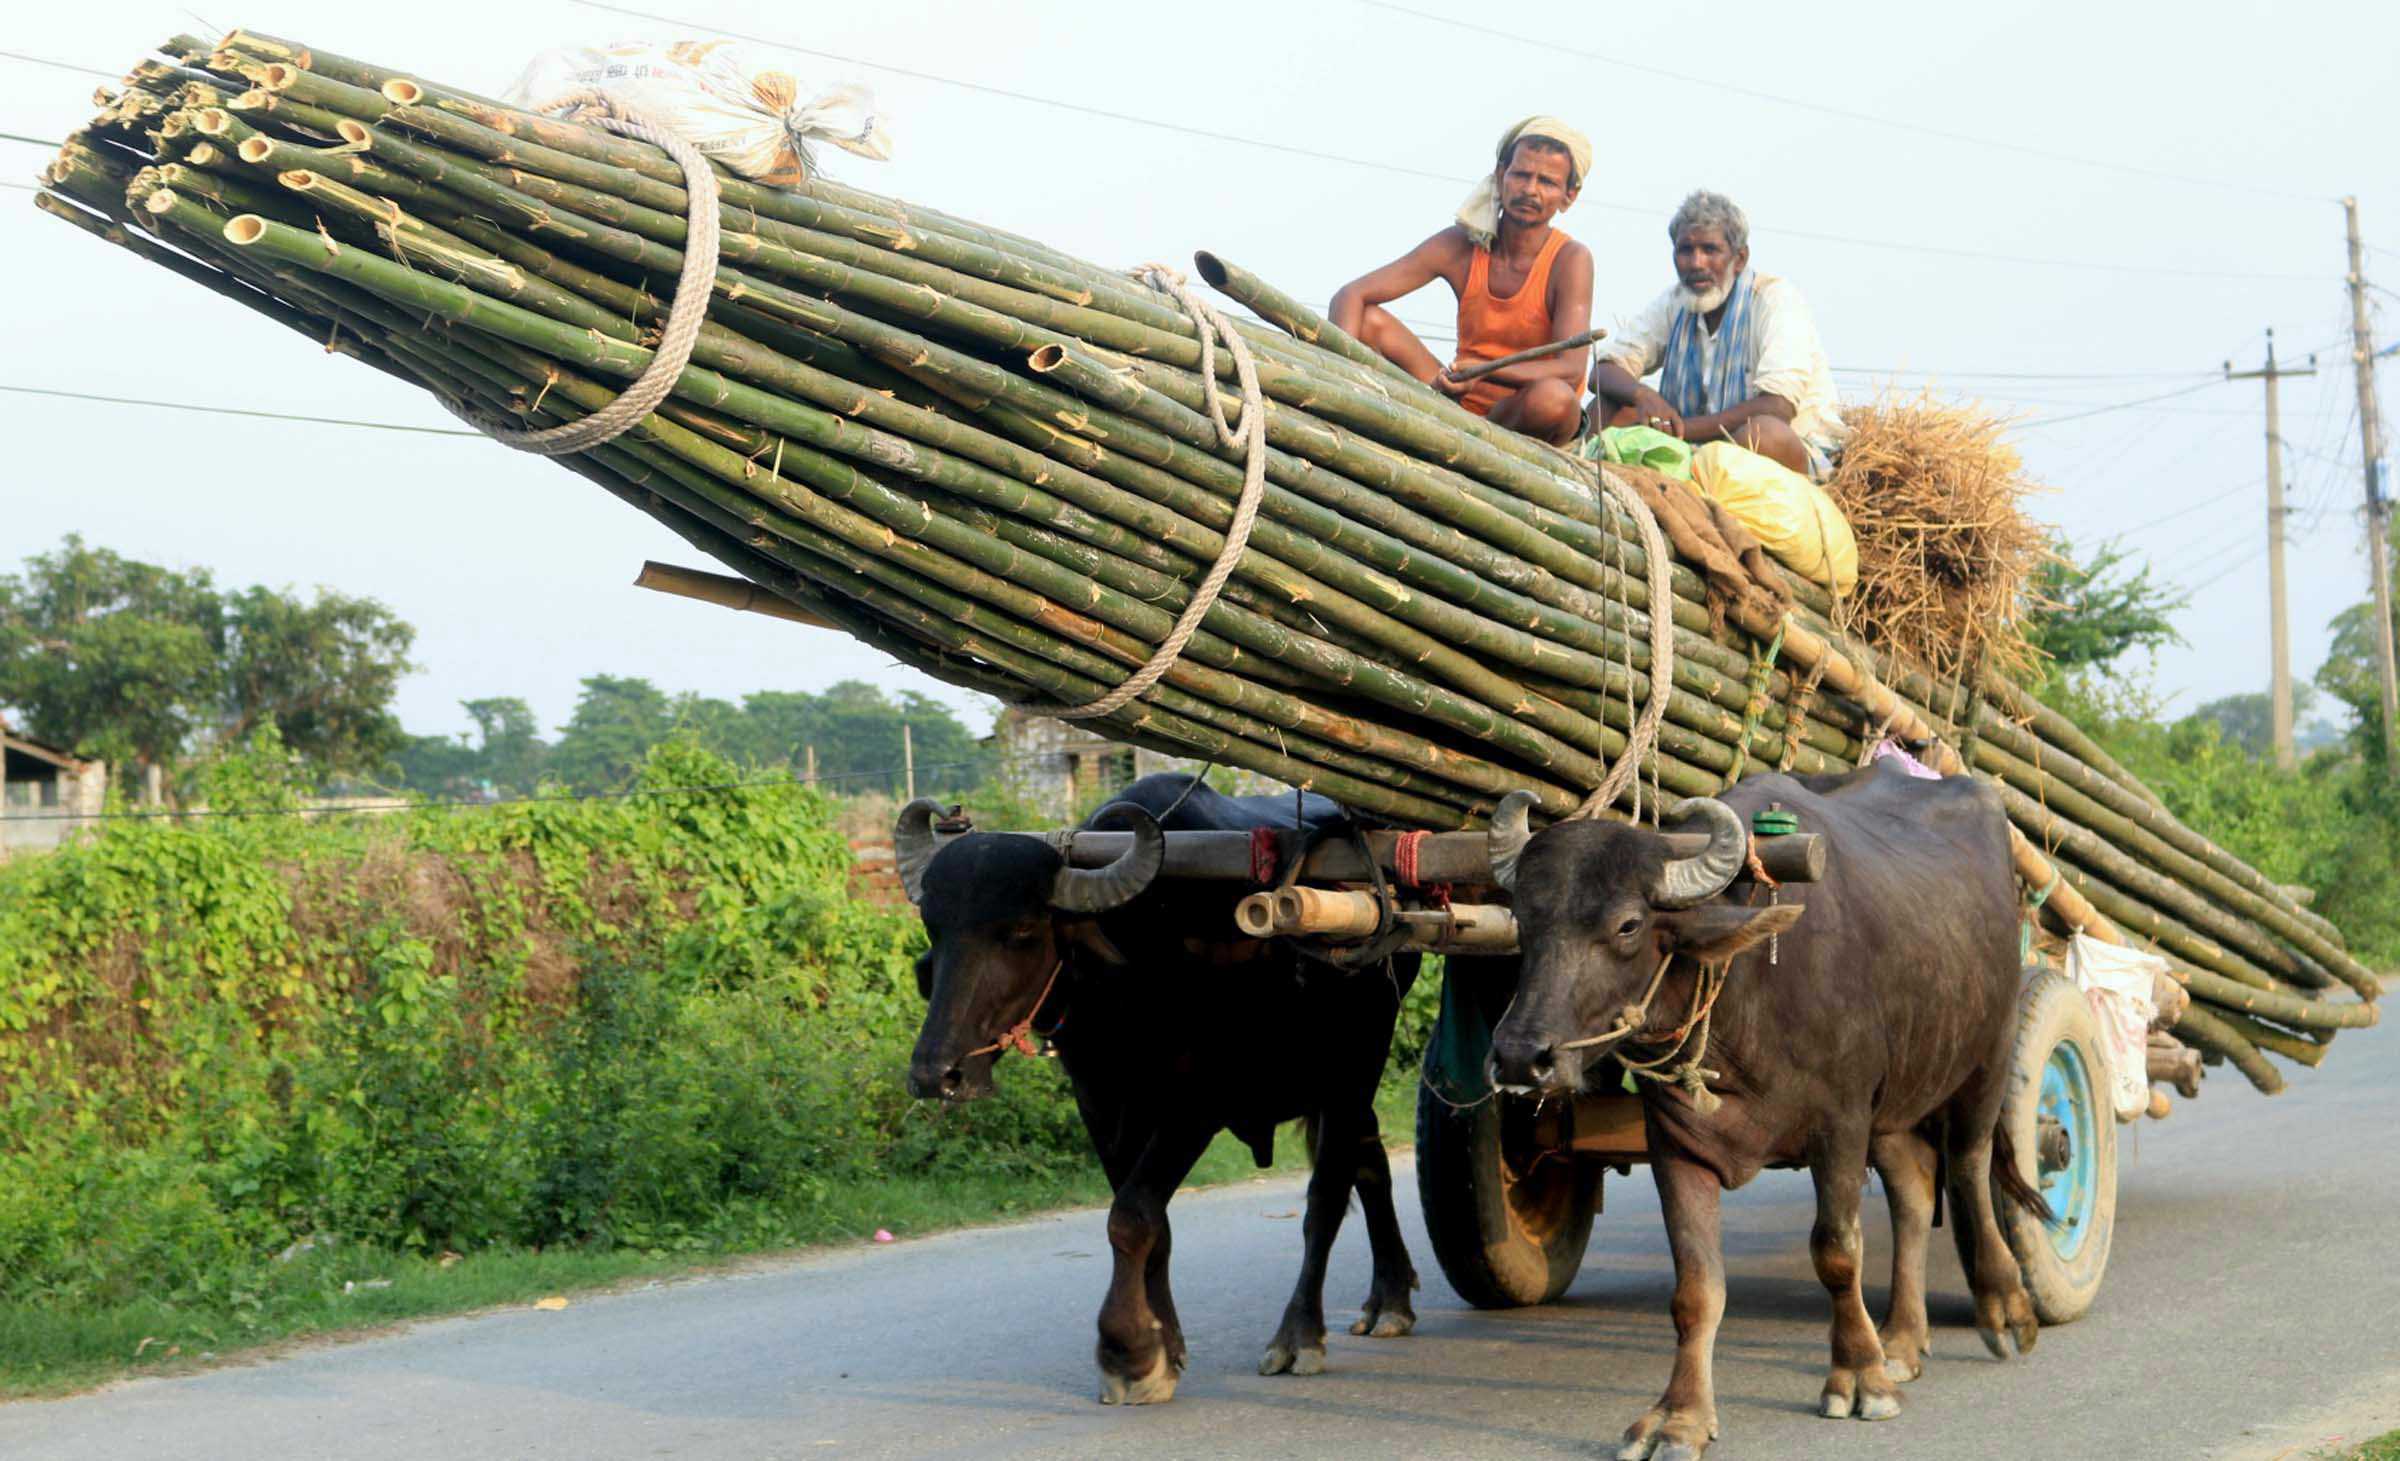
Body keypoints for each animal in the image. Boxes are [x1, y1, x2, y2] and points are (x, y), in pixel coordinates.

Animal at [902, 777, 1420, 1401]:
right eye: (935, 927)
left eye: (1021, 932)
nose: (936, 1074)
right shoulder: (1101, 1104)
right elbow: (1154, 1223)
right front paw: (1164, 1344)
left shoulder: (1196, 1106)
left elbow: (1130, 1215)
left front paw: (1128, 1353)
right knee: (1370, 1164)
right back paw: (1389, 1299)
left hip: (1357, 1062)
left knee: (1325, 1199)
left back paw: (1299, 1336)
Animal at [1488, 767, 2054, 1449]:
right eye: (1522, 922)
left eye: (1627, 925)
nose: (1521, 1057)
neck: (1744, 989)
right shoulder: (1676, 1144)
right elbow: (1696, 1287)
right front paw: (1680, 1416)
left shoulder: (1840, 1125)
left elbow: (1837, 1252)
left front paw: (1857, 1378)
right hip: (1895, 1100)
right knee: (1914, 1195)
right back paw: (1900, 1340)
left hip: (1986, 1057)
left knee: (1969, 1169)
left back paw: (2004, 1310)